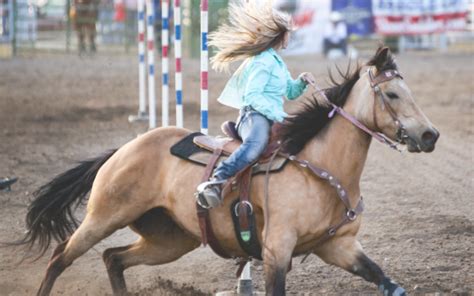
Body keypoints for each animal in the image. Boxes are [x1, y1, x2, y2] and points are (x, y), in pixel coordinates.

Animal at [12, 46, 438, 296]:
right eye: (393, 93)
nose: (430, 135)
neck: (321, 167)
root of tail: (124, 149)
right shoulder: (276, 249)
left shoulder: (340, 246)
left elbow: (386, 281)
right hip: (104, 216)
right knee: (60, 257)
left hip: (169, 239)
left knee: (113, 259)